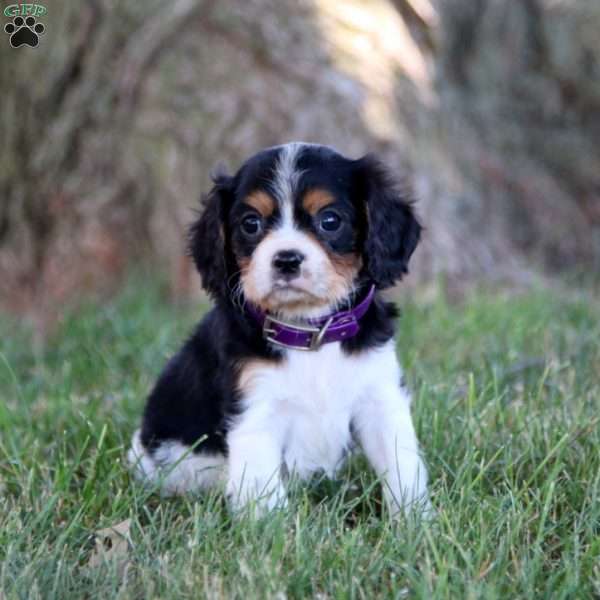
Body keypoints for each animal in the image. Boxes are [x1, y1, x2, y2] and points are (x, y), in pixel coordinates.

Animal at [129, 142, 432, 516]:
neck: (311, 333)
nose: (286, 259)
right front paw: (271, 530)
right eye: (250, 223)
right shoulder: (254, 412)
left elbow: (402, 467)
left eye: (330, 220)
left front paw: (416, 521)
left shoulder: (380, 398)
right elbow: (265, 492)